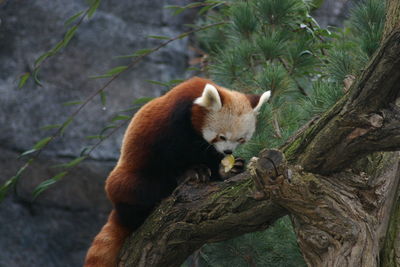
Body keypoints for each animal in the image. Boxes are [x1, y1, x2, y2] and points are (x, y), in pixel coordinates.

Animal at [85, 76, 272, 266]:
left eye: (240, 139)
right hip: (126, 180)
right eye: (222, 136)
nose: (228, 151)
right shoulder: (172, 126)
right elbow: (170, 159)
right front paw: (191, 172)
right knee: (143, 188)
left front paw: (227, 169)